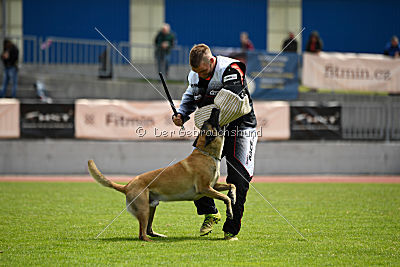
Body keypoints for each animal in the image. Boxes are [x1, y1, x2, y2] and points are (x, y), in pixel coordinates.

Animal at [88, 109, 234, 243]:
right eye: (210, 121)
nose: (215, 109)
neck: (206, 153)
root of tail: (127, 186)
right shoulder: (205, 189)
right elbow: (226, 198)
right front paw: (230, 212)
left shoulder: (213, 186)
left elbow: (232, 186)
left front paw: (233, 195)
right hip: (144, 210)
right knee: (142, 234)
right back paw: (150, 241)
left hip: (151, 207)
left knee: (147, 229)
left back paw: (159, 236)